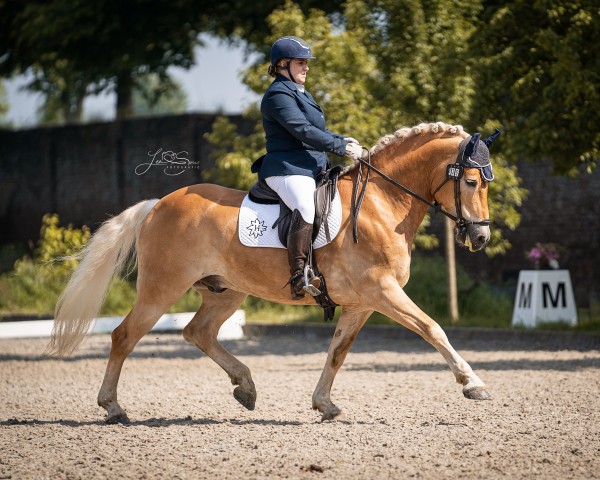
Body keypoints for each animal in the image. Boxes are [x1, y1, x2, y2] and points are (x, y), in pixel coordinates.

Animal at [48, 122, 496, 422]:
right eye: (473, 182)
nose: (481, 238)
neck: (380, 203)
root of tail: (157, 204)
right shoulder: (383, 292)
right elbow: (432, 328)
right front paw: (473, 384)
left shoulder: (361, 303)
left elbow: (338, 352)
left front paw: (324, 404)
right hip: (162, 290)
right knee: (124, 336)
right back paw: (113, 408)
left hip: (226, 292)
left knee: (198, 332)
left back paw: (245, 387)